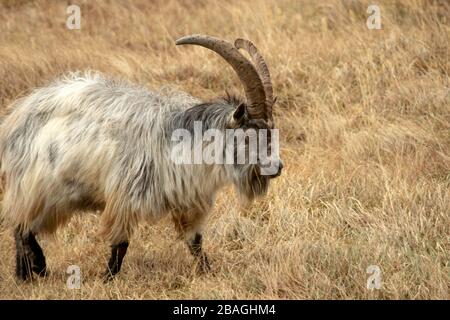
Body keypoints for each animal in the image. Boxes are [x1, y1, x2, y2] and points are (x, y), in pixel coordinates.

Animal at [0, 33, 284, 282]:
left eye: (271, 131)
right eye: (248, 136)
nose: (277, 167)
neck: (179, 140)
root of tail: (17, 117)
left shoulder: (188, 201)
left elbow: (195, 243)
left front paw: (208, 272)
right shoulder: (124, 197)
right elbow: (120, 244)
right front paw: (107, 279)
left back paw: (25, 274)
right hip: (41, 188)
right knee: (21, 224)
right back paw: (37, 267)